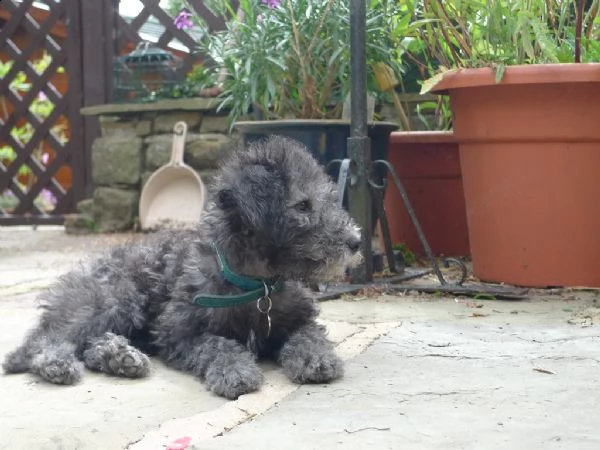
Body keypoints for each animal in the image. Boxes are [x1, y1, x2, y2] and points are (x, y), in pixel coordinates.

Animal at [2, 135, 360, 400]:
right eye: (303, 206)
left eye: (330, 200)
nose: (356, 241)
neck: (256, 283)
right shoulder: (178, 332)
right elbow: (216, 344)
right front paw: (235, 370)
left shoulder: (299, 318)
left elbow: (308, 335)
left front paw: (316, 357)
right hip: (115, 299)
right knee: (43, 341)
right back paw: (59, 363)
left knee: (85, 344)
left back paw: (120, 358)